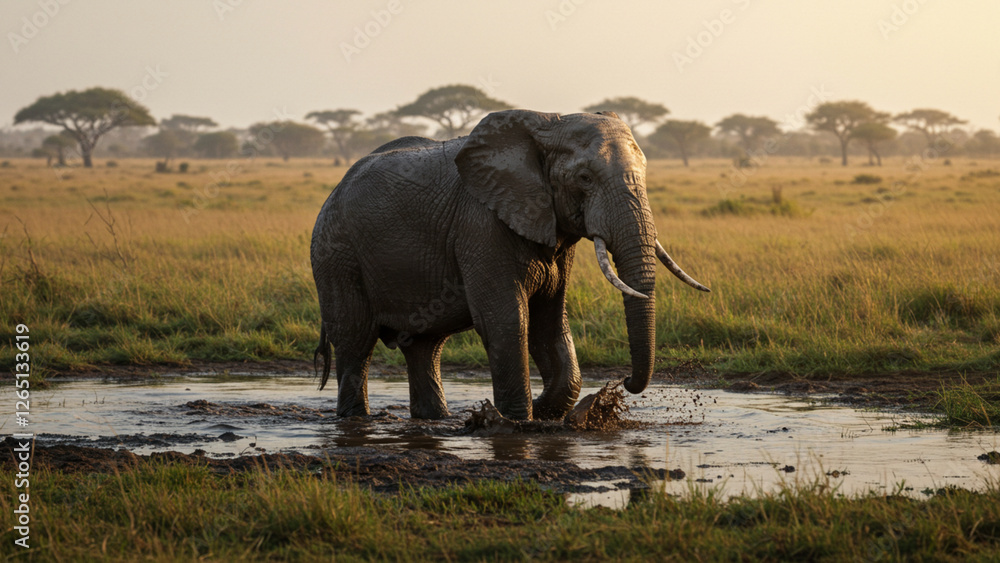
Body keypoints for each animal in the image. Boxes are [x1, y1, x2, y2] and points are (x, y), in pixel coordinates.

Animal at [311, 109, 709, 421]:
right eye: (584, 178)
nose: (624, 382)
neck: (548, 122)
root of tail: (332, 192)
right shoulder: (480, 224)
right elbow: (507, 321)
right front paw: (518, 421)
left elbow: (550, 325)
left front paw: (549, 409)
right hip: (336, 254)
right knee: (356, 343)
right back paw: (355, 420)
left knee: (424, 347)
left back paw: (435, 420)